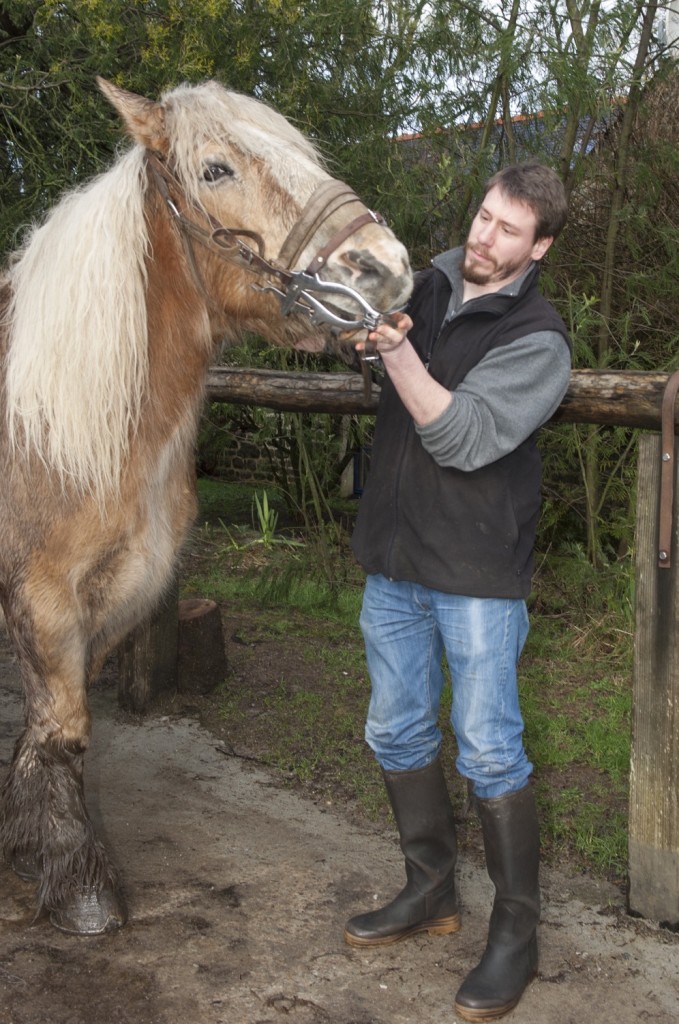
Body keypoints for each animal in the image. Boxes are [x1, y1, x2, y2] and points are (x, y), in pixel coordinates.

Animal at [0, 77, 413, 937]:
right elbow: (64, 729)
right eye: (215, 169)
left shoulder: (119, 594)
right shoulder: (42, 594)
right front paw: (77, 882)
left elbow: (43, 726)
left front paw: (23, 844)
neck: (55, 422)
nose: (383, 268)